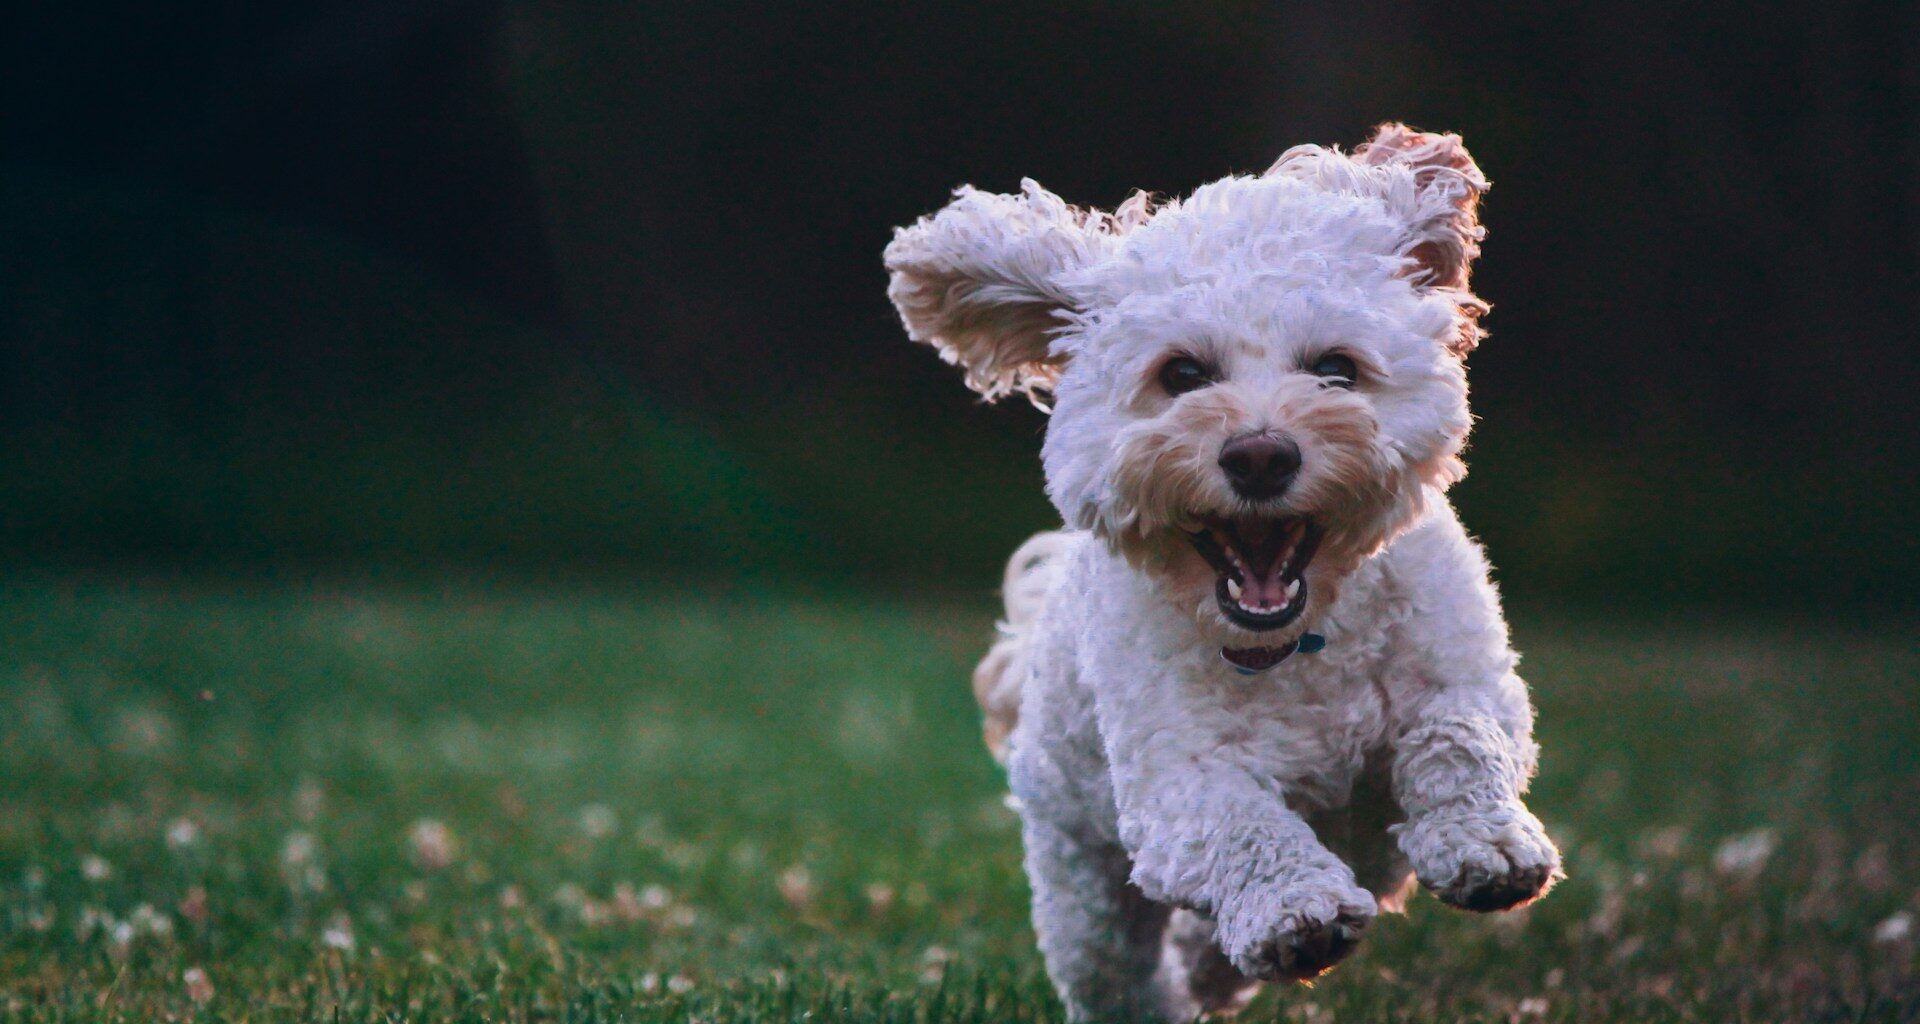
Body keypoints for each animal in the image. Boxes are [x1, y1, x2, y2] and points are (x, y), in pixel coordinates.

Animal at [883, 123, 1559, 1014]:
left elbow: (1460, 738)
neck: (1299, 642)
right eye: (1181, 374)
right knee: (1112, 967)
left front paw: (1486, 844)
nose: (1261, 455)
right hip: (1080, 875)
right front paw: (1295, 909)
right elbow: (1241, 825)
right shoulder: (1176, 780)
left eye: (1336, 369)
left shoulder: (1465, 675)